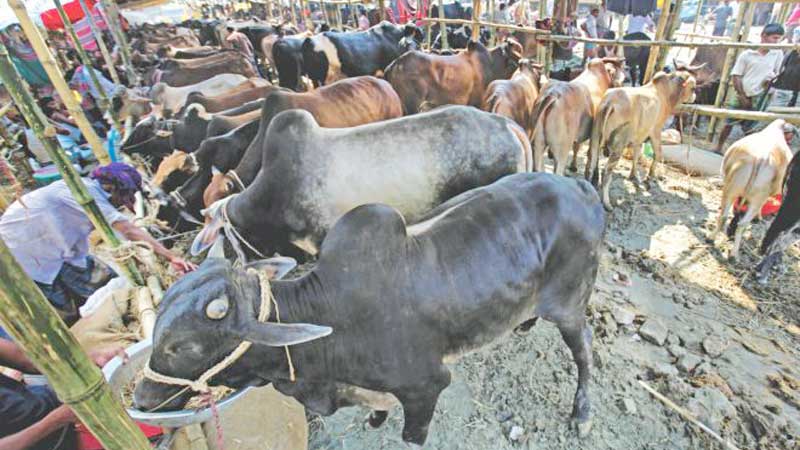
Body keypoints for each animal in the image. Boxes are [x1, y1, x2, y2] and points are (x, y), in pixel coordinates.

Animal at [134, 172, 604, 447]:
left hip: (570, 303)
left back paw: (582, 414)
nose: (139, 397)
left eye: (184, 347)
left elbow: (412, 434)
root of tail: (581, 187)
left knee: (583, 348)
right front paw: (376, 418)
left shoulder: (427, 387)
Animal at [587, 65, 703, 211]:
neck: (665, 93)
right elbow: (658, 153)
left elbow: (637, 154)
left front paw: (634, 176)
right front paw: (649, 177)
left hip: (595, 136)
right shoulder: (656, 130)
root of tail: (610, 103)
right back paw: (607, 203)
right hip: (618, 145)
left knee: (592, 163)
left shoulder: (639, 136)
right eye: (693, 88)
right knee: (606, 173)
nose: (694, 97)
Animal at [710, 120, 796, 261]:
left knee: (724, 216)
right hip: (757, 198)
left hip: (731, 189)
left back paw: (711, 239)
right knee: (742, 224)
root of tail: (761, 158)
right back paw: (734, 254)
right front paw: (759, 217)